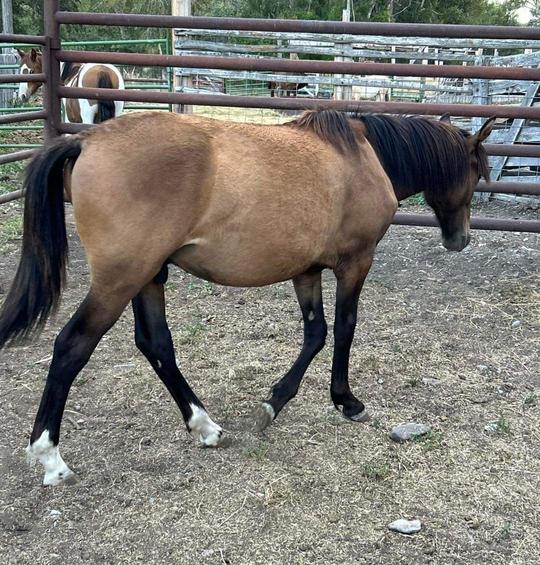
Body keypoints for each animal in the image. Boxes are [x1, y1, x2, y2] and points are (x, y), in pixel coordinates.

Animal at [0, 109, 494, 484]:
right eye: (476, 172)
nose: (461, 239)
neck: (363, 156)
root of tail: (87, 141)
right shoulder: (355, 262)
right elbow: (345, 328)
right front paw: (345, 400)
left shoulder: (306, 270)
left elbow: (315, 333)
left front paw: (274, 402)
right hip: (119, 281)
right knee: (71, 347)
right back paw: (50, 458)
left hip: (148, 277)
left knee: (156, 344)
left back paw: (205, 426)